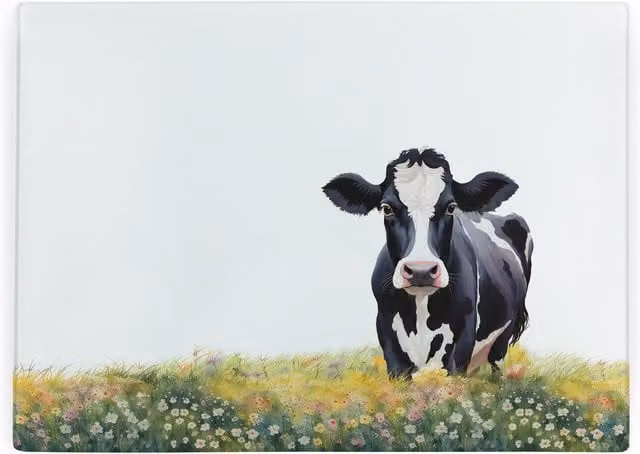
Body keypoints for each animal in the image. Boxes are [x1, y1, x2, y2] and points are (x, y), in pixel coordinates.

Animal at [322, 147, 533, 379]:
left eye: (451, 207)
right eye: (386, 208)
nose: (420, 271)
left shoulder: (463, 337)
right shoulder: (387, 334)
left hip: (503, 335)